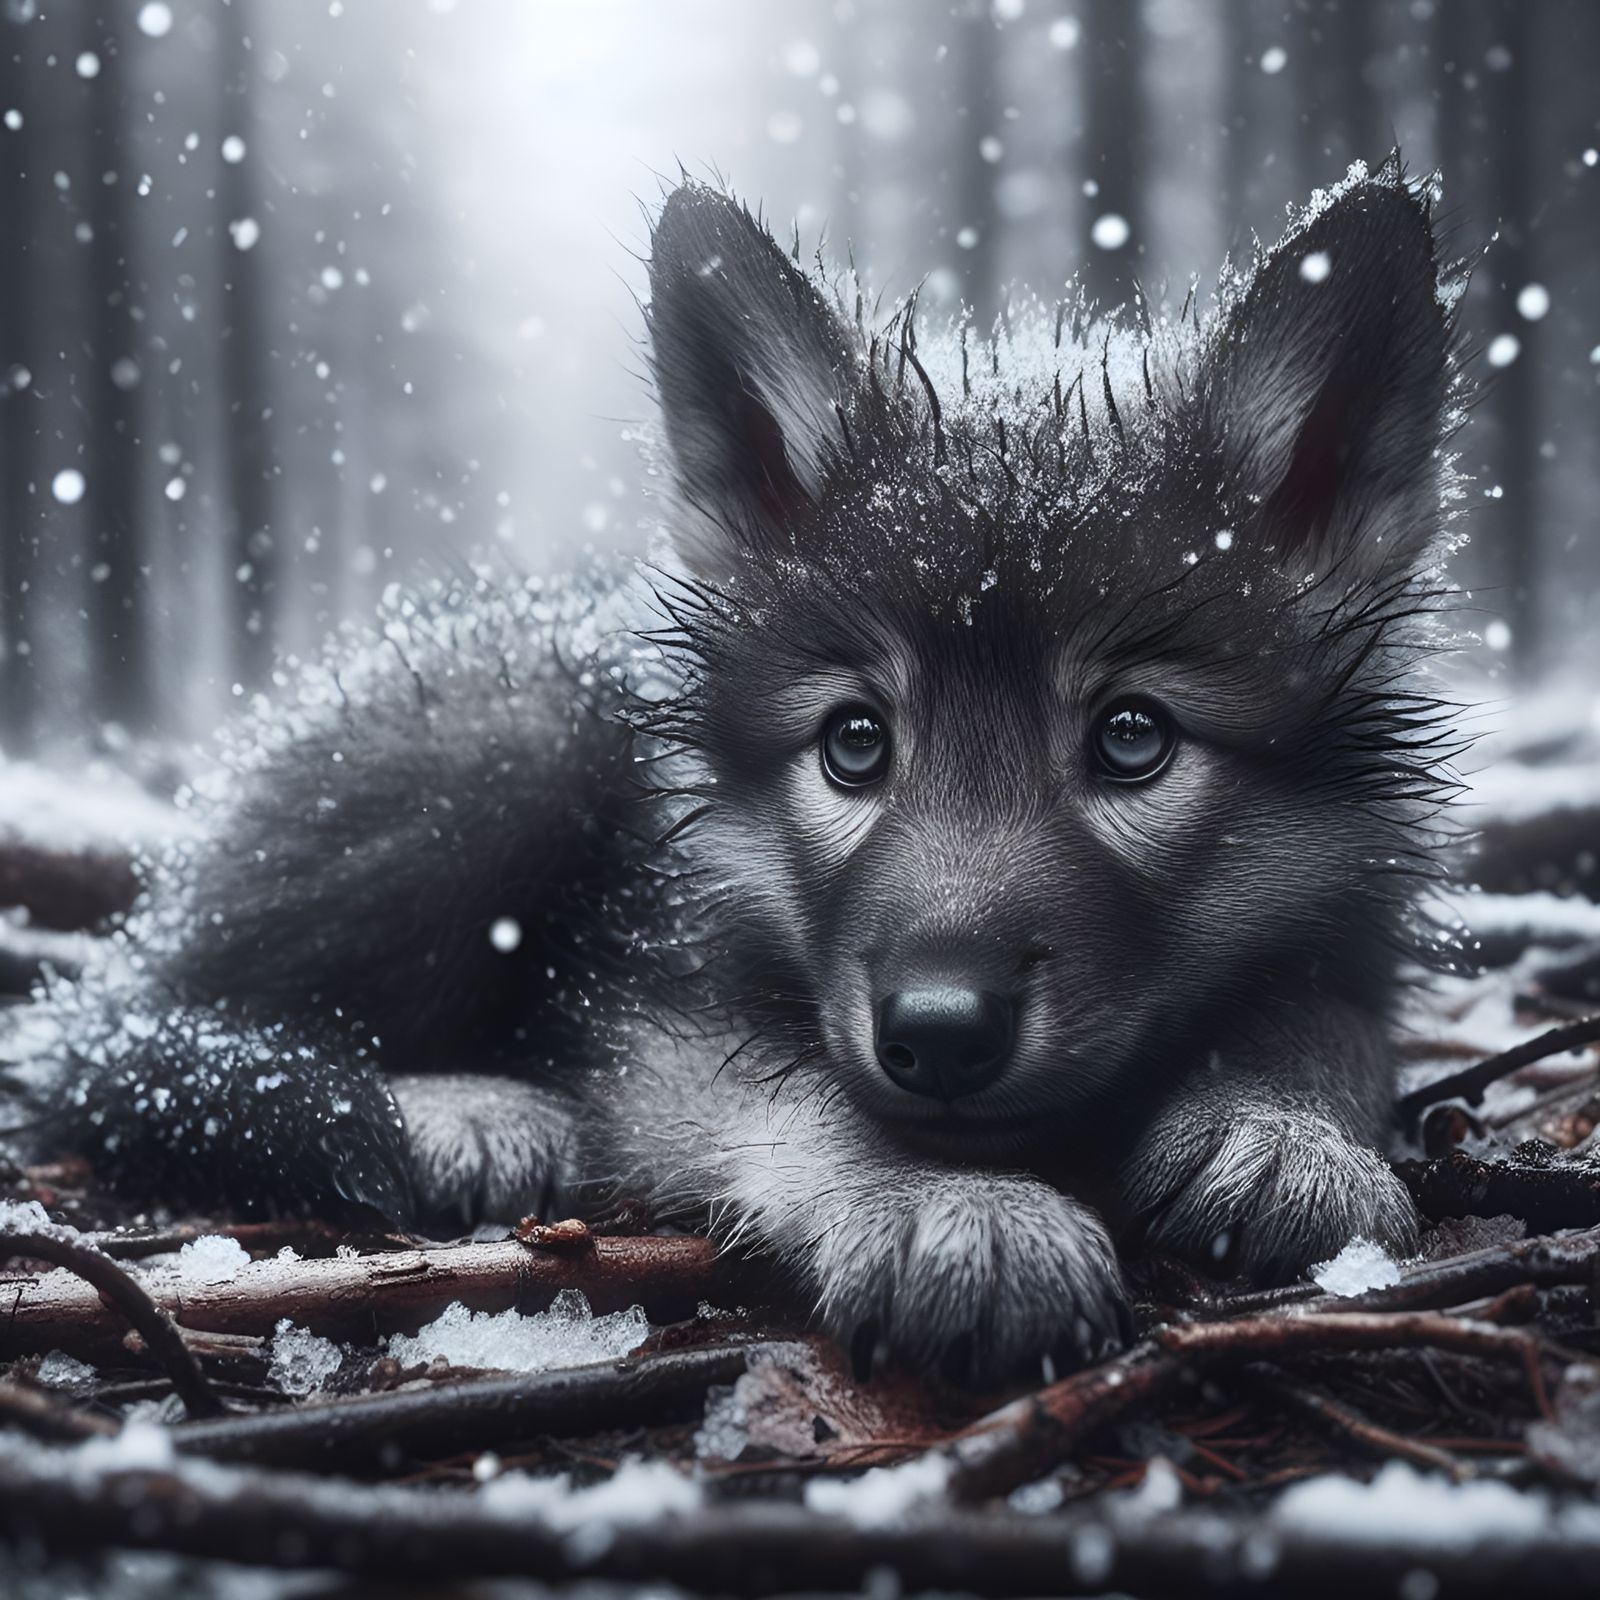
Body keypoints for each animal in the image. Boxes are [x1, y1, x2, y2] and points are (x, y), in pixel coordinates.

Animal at [17, 159, 1464, 1384]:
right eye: (854, 742)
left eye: (1132, 736)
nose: (938, 1034)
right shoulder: (657, 1015)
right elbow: (812, 1107)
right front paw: (953, 1209)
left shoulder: (1340, 926)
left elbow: (1330, 1021)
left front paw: (1285, 1131)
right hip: (515, 730)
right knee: (132, 1036)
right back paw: (457, 1111)